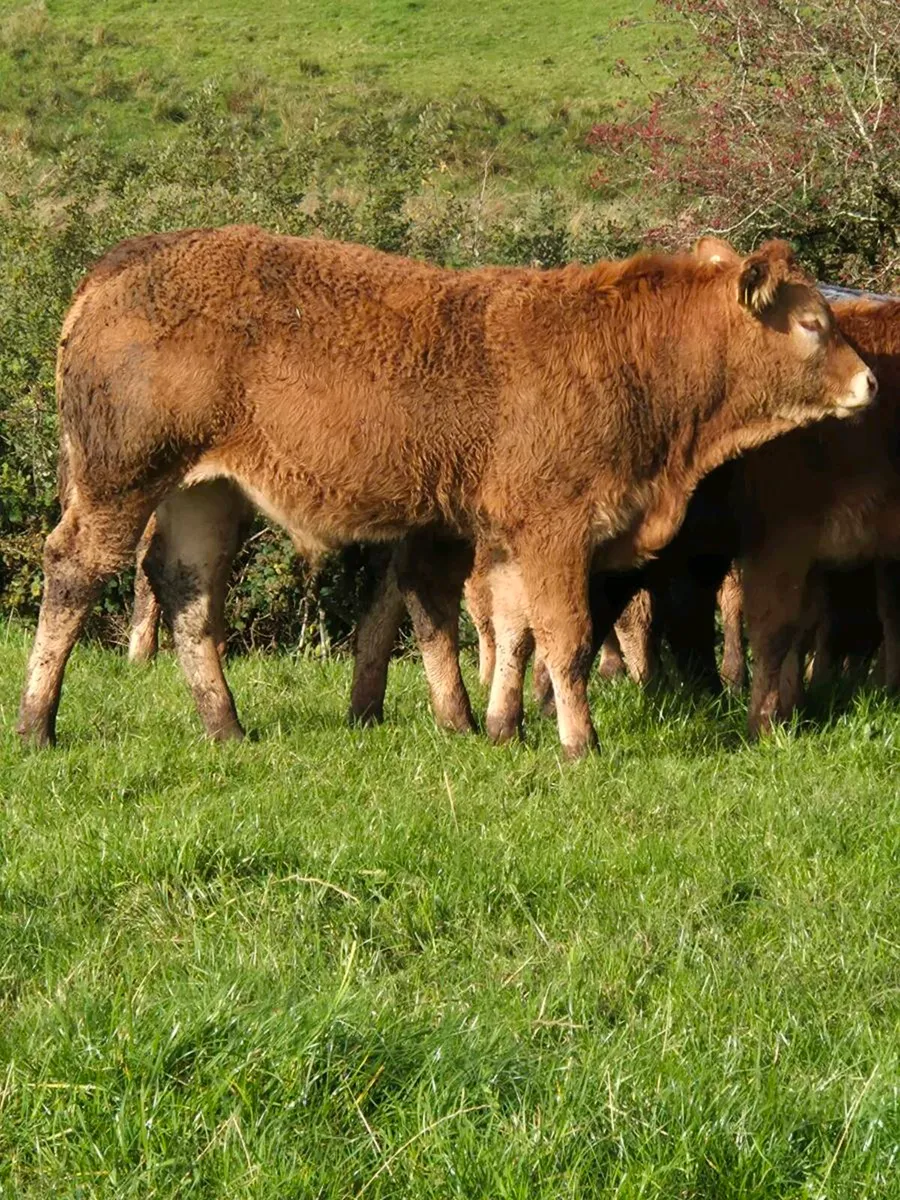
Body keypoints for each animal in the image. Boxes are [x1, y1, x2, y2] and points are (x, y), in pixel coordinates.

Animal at [17, 227, 875, 757]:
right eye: (812, 324)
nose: (870, 381)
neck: (624, 353)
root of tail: (122, 262)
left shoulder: (504, 534)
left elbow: (510, 630)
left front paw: (497, 727)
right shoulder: (555, 530)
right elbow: (562, 637)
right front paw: (579, 742)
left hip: (205, 491)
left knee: (190, 592)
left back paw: (225, 726)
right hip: (120, 478)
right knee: (74, 571)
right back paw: (36, 723)